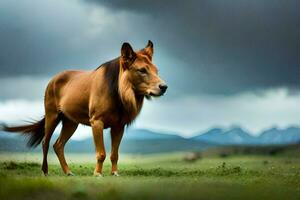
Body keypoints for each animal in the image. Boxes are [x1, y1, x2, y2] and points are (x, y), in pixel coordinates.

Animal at [2, 40, 166, 177]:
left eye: (156, 70)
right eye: (142, 70)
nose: (164, 87)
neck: (120, 94)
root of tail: (52, 80)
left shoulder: (119, 126)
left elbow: (114, 154)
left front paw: (115, 173)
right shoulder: (96, 121)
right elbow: (101, 153)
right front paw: (97, 174)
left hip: (70, 122)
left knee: (58, 145)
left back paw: (68, 172)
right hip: (52, 115)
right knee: (45, 143)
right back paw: (45, 171)